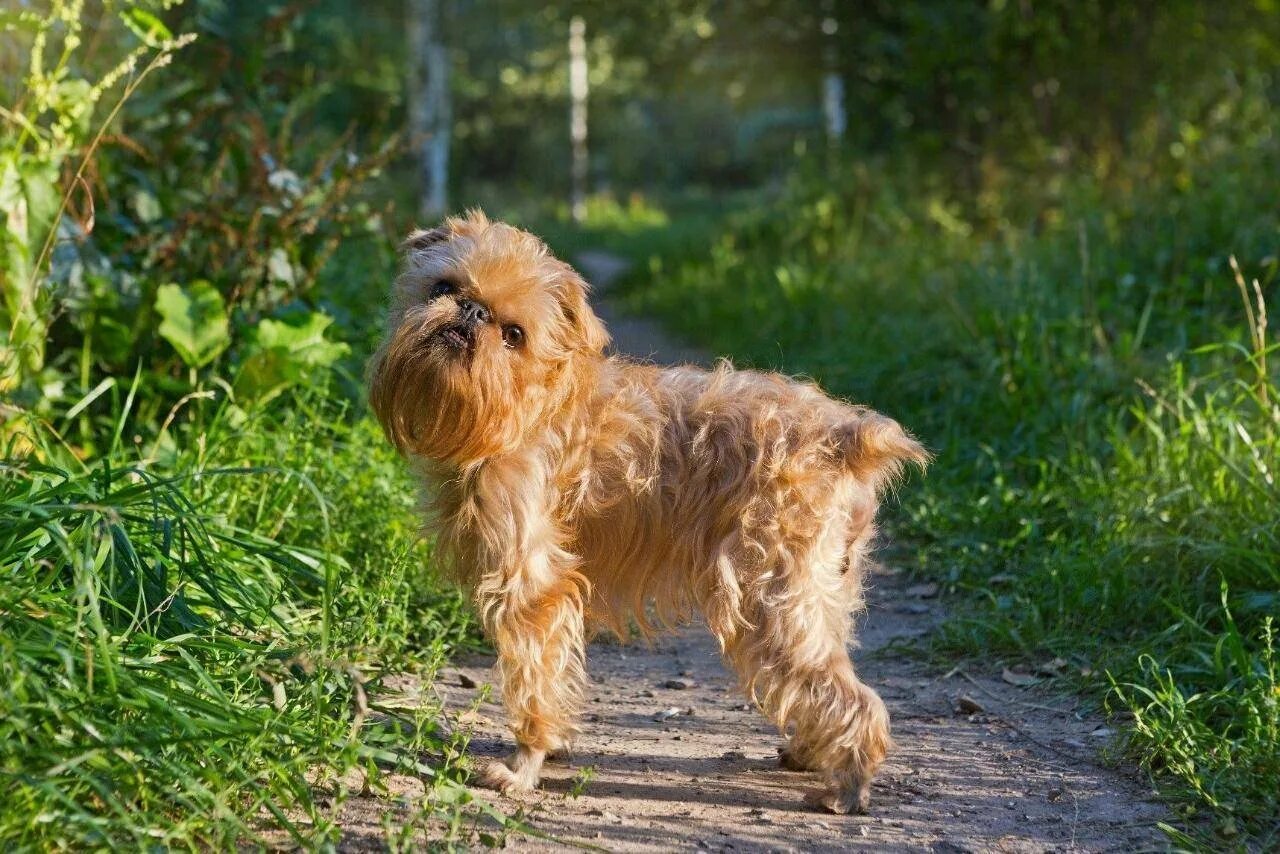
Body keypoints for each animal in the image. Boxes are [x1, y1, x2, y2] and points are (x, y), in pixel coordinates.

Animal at [371, 208, 931, 814]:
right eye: (442, 289)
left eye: (514, 335)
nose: (471, 312)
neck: (523, 407)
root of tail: (845, 435)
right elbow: (557, 672)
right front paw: (554, 746)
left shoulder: (532, 588)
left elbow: (534, 675)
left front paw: (525, 766)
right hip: (819, 591)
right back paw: (811, 755)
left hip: (770, 596)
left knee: (851, 695)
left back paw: (846, 787)